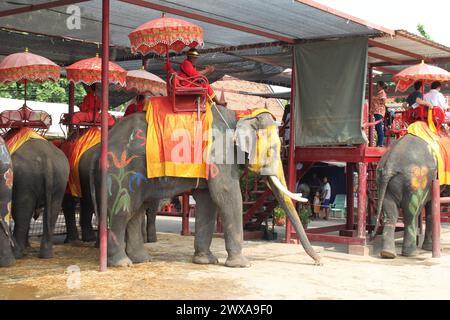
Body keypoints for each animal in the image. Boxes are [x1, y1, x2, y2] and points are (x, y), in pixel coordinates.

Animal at [93, 105, 322, 268]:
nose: (319, 261)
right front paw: (242, 265)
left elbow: (207, 201)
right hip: (122, 171)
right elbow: (227, 195)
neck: (241, 115)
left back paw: (141, 260)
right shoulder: (220, 153)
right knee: (124, 211)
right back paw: (122, 264)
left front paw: (206, 261)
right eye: (273, 149)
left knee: (137, 211)